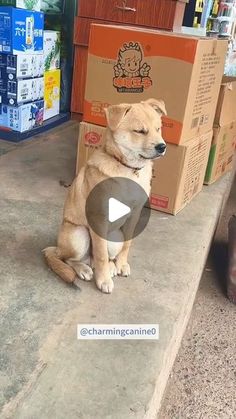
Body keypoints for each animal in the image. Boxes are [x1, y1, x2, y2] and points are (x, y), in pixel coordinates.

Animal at [43, 99, 167, 294]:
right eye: (139, 131)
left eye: (158, 128)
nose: (162, 147)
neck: (127, 169)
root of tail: (56, 248)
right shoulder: (99, 219)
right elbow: (101, 254)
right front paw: (103, 280)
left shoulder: (134, 215)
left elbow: (126, 245)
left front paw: (121, 265)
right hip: (78, 235)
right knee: (71, 259)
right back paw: (85, 269)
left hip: (115, 236)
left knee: (103, 257)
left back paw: (111, 267)